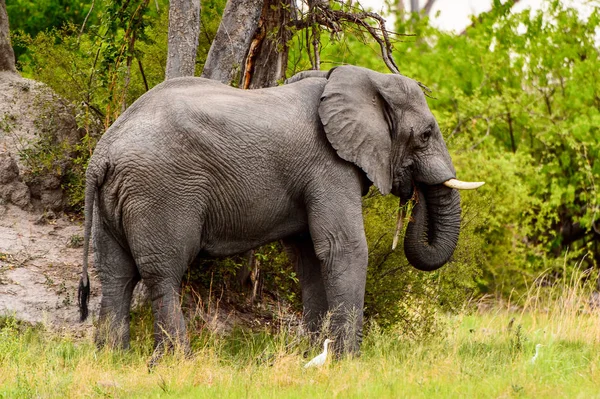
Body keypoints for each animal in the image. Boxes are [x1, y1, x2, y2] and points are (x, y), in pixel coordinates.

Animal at [78, 64, 482, 358]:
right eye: (426, 135)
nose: (410, 192)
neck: (364, 78)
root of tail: (102, 153)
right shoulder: (328, 165)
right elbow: (343, 247)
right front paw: (348, 362)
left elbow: (311, 257)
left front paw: (315, 356)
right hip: (160, 191)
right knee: (163, 273)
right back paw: (175, 362)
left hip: (118, 198)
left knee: (115, 273)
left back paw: (112, 359)